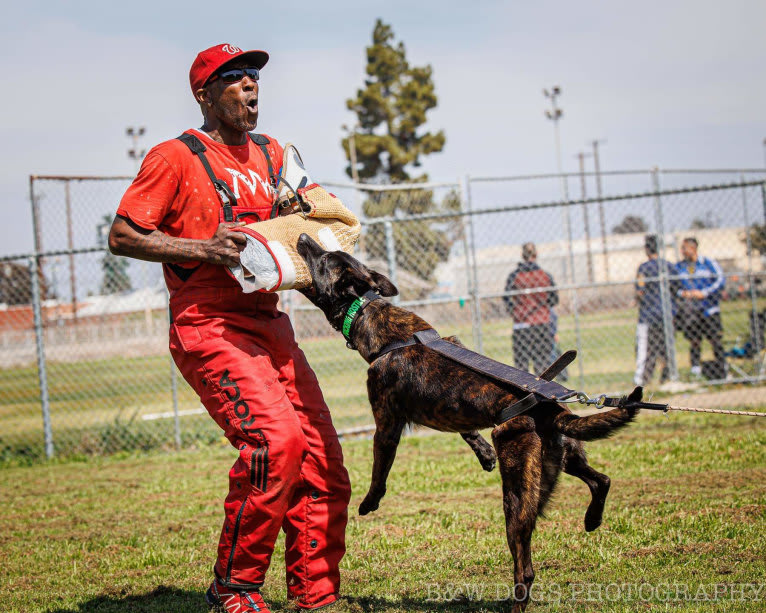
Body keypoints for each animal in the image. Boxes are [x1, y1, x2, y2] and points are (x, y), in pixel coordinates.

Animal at [298, 234, 640, 612]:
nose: (303, 237)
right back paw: (592, 519)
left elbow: (379, 471)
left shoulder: (386, 424)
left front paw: (369, 502)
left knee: (526, 568)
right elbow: (466, 428)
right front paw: (483, 453)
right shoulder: (451, 407)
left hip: (516, 495)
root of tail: (553, 411)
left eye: (323, 260)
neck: (373, 315)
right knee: (602, 480)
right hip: (565, 459)